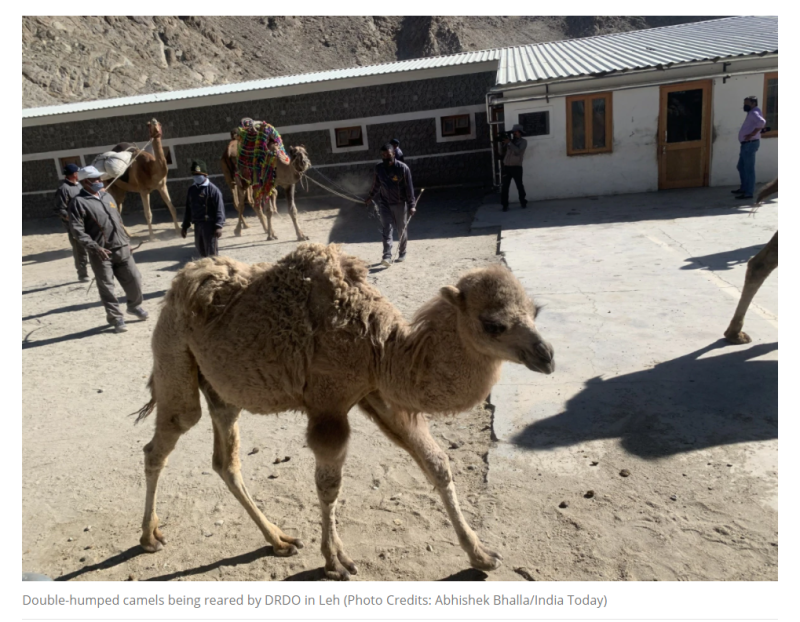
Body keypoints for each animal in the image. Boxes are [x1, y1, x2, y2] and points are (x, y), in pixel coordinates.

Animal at [133, 243, 556, 580]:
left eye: (536, 310)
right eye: (493, 324)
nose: (547, 356)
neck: (382, 346)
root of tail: (177, 288)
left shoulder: (377, 393)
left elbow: (436, 463)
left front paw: (481, 555)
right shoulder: (329, 404)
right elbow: (329, 485)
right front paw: (335, 562)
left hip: (224, 390)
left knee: (225, 460)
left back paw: (279, 540)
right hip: (173, 355)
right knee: (166, 436)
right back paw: (149, 537)